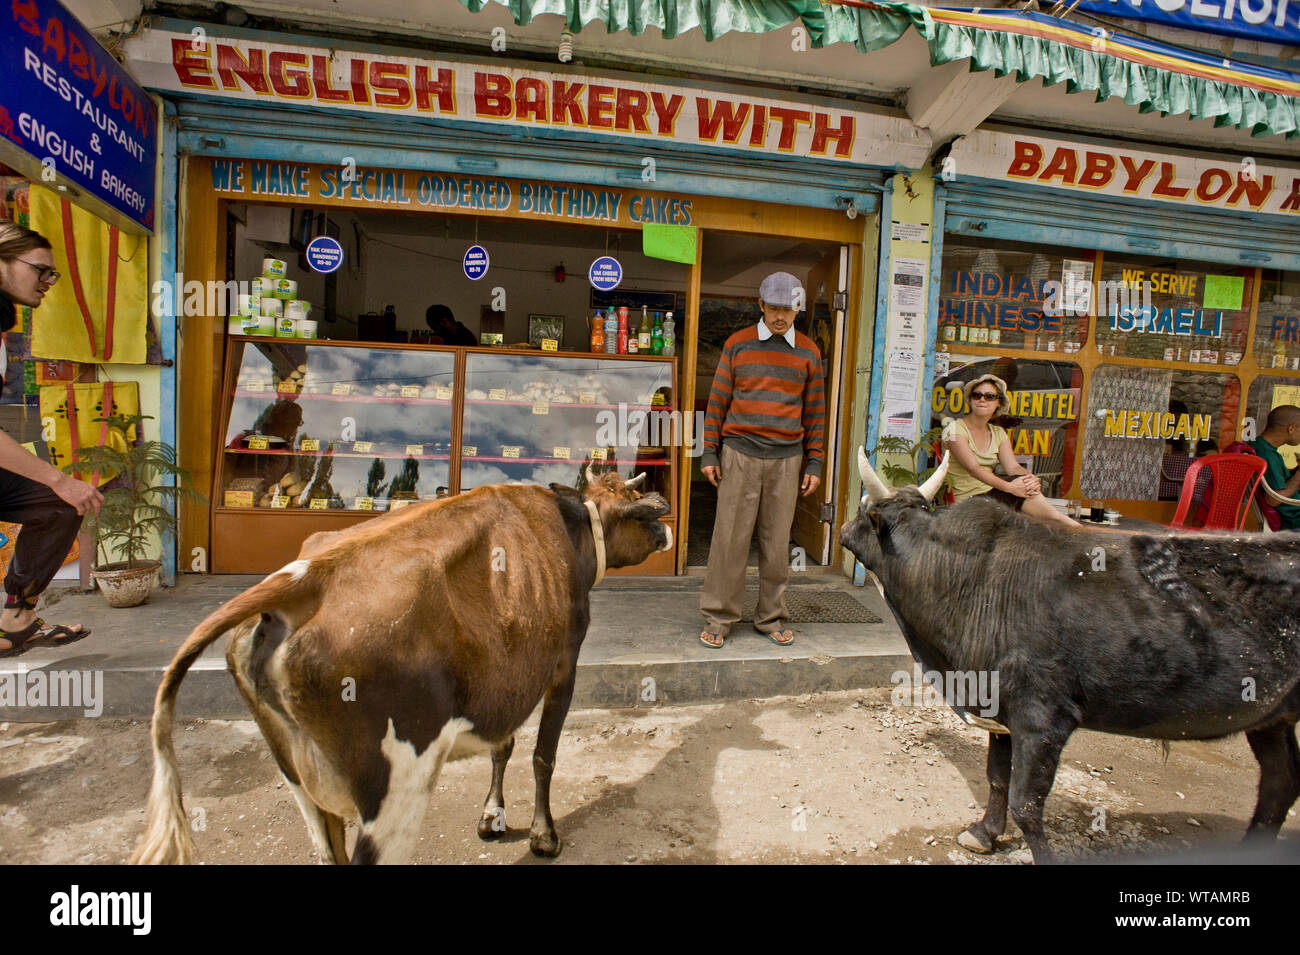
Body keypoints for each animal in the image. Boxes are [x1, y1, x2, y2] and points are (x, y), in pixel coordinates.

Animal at [131, 470, 670, 867]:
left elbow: (503, 746)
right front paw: (543, 835)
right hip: (397, 782)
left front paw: (491, 817)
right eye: (640, 505)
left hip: (298, 778)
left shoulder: (508, 671)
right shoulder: (563, 662)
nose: (666, 525)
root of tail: (303, 579)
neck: (572, 531)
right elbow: (543, 755)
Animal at [837, 452, 1300, 862]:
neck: (966, 581)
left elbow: (1026, 804)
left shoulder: (1043, 717)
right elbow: (997, 777)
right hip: (1271, 717)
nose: (841, 527)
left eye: (865, 511)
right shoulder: (999, 707)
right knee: (1280, 782)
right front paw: (984, 832)